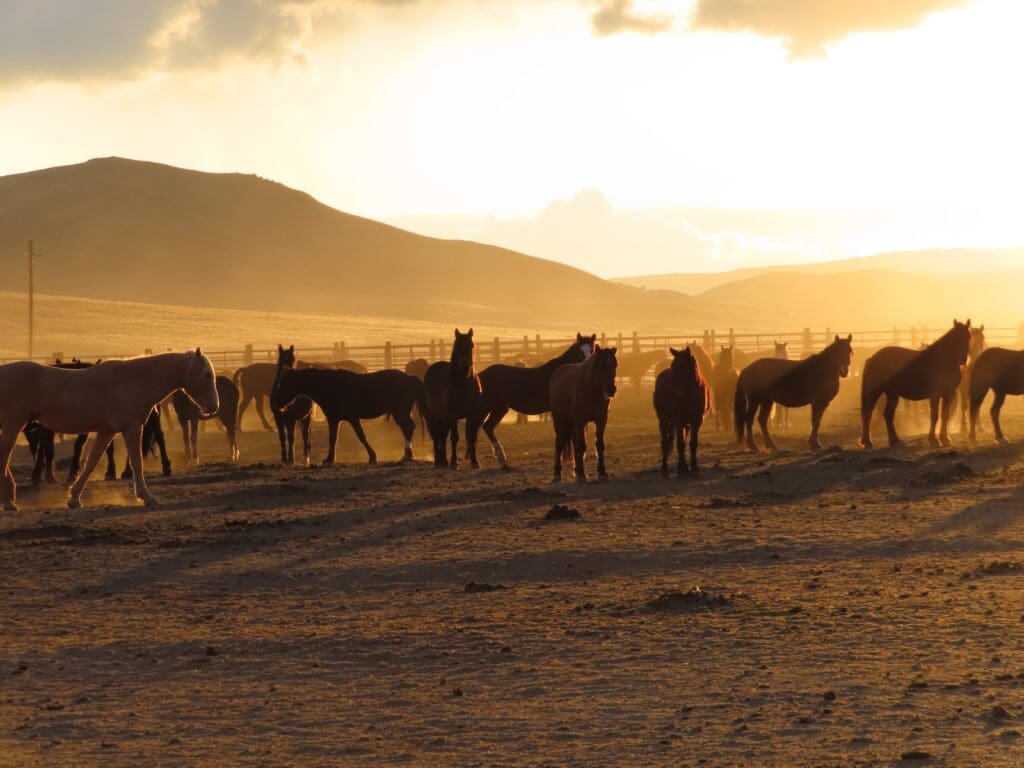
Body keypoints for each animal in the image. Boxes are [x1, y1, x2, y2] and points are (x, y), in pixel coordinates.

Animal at [0, 350, 216, 512]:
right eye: (207, 375)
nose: (213, 407)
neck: (134, 381)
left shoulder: (107, 432)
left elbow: (91, 463)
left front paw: (74, 498)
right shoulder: (132, 428)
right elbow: (137, 462)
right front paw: (146, 497)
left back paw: (10, 497)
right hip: (13, 425)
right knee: (4, 457)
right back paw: (8, 501)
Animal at [274, 360, 421, 462]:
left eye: (285, 383)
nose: (277, 403)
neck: (331, 387)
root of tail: (410, 377)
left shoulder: (352, 418)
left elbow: (361, 436)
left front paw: (372, 456)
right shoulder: (334, 419)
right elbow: (333, 438)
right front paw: (329, 459)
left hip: (400, 412)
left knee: (408, 427)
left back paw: (407, 455)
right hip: (400, 413)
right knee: (407, 428)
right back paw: (408, 454)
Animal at [421, 329, 481, 468]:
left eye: (472, 346)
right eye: (457, 347)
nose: (466, 368)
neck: (464, 384)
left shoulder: (472, 414)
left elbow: (471, 436)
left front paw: (475, 461)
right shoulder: (453, 415)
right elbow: (454, 437)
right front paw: (454, 462)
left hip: (444, 417)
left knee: (442, 435)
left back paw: (443, 460)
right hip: (433, 416)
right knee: (436, 436)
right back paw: (438, 460)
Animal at [475, 333, 598, 473]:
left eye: (593, 350)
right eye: (579, 352)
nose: (585, 368)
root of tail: (482, 374)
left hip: (495, 409)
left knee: (483, 428)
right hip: (494, 408)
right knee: (484, 427)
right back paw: (500, 461)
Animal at [860, 319, 970, 450]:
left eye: (969, 337)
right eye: (956, 338)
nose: (964, 360)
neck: (943, 360)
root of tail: (872, 358)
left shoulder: (949, 394)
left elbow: (945, 415)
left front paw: (945, 439)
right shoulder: (935, 395)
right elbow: (934, 416)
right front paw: (933, 440)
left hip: (892, 394)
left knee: (887, 415)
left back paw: (895, 441)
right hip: (874, 392)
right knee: (868, 414)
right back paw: (868, 442)